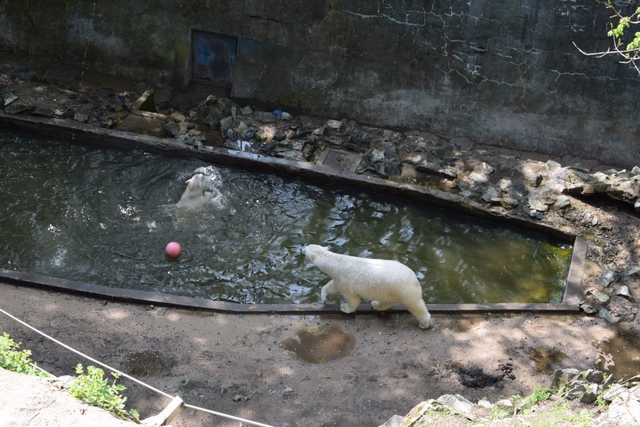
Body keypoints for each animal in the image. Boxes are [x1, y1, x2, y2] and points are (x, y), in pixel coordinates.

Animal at [304, 244, 432, 332]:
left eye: (305, 249)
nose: (301, 248)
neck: (336, 262)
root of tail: (415, 278)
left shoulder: (345, 279)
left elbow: (352, 298)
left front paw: (344, 307)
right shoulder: (338, 278)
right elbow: (333, 286)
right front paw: (324, 297)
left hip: (403, 289)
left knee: (415, 305)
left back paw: (424, 324)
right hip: (387, 289)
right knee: (386, 300)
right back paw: (376, 304)